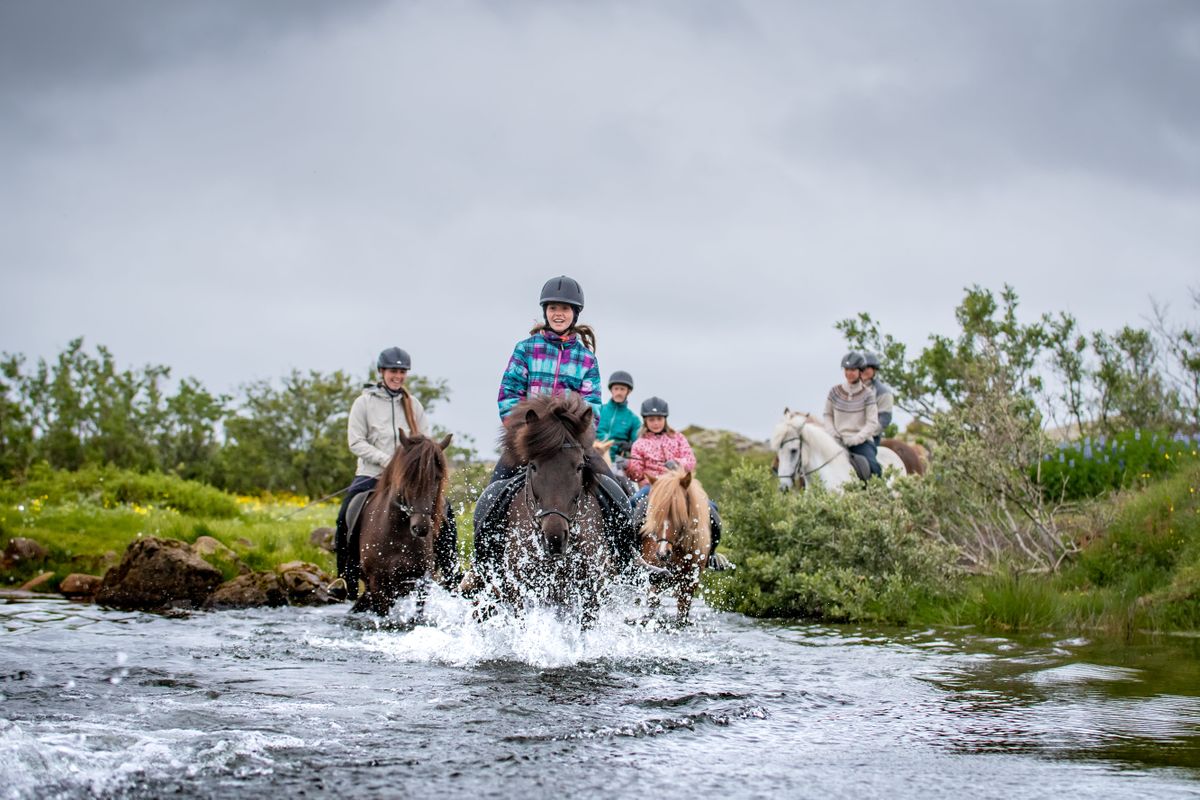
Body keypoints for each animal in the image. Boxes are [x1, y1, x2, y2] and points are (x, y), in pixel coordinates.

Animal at [352, 431, 453, 616]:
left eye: (437, 478)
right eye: (409, 476)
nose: (421, 528)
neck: (397, 536)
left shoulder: (421, 580)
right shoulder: (378, 585)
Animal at [639, 469, 712, 622]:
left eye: (679, 514)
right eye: (656, 514)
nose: (662, 553)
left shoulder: (689, 585)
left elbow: (682, 614)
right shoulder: (655, 577)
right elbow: (653, 603)